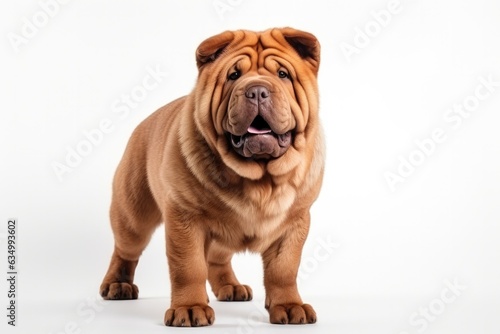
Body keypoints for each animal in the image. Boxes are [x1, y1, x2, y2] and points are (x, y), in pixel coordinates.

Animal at [99, 26, 326, 326]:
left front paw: (289, 306)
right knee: (125, 249)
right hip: (133, 214)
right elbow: (189, 267)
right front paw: (190, 308)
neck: (259, 178)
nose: (257, 91)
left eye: (283, 74)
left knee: (218, 258)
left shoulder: (294, 224)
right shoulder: (185, 218)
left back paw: (231, 287)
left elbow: (284, 269)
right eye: (234, 75)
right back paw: (118, 285)